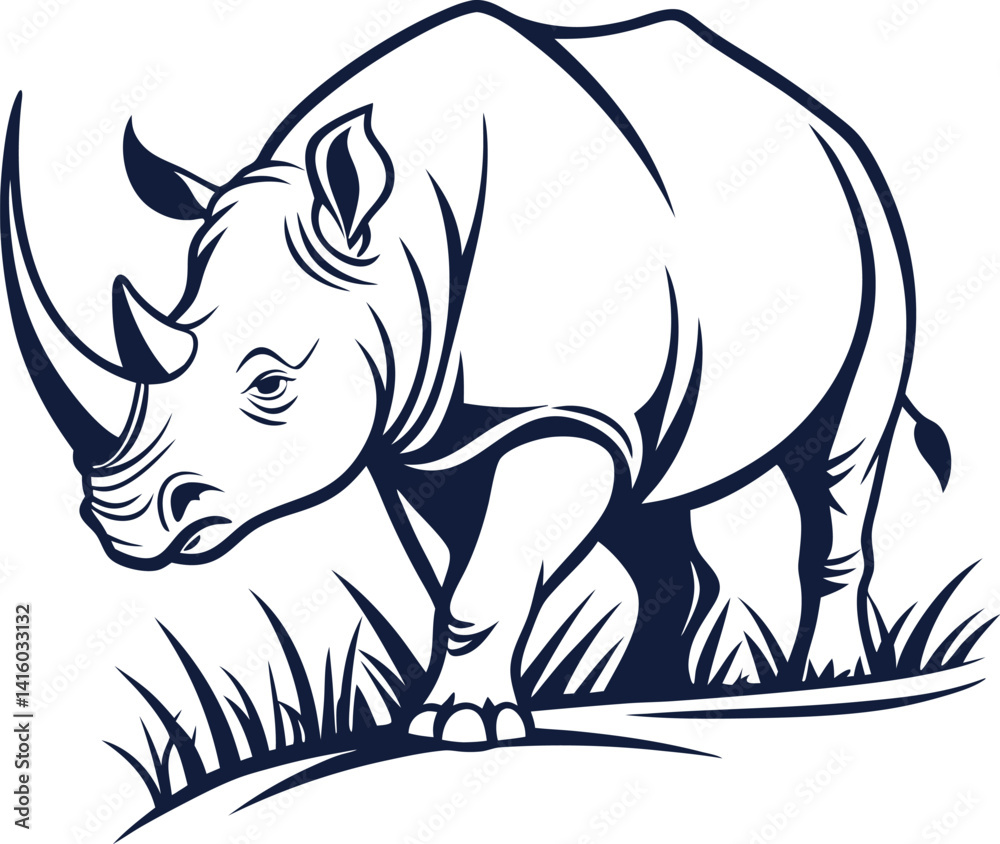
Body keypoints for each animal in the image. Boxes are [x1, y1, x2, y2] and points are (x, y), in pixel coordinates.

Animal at [2, 3, 950, 743]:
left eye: (270, 386)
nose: (119, 526)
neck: (403, 243)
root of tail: (821, 120)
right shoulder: (413, 438)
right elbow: (452, 574)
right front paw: (447, 710)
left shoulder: (560, 411)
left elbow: (484, 579)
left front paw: (460, 726)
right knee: (652, 494)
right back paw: (642, 691)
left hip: (874, 223)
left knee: (837, 458)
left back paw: (829, 677)